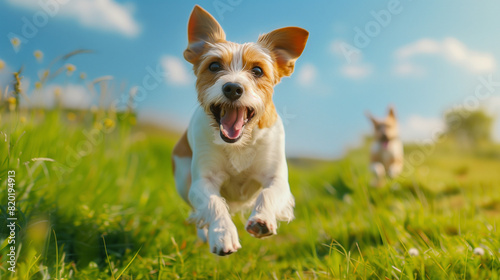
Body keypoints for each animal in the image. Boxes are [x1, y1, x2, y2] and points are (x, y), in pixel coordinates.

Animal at [171, 6, 308, 256]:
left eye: (257, 70)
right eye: (214, 66)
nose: (233, 88)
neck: (240, 143)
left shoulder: (277, 179)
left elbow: (268, 193)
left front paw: (262, 219)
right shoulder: (202, 182)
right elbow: (213, 203)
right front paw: (222, 234)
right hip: (183, 181)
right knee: (196, 213)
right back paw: (204, 234)